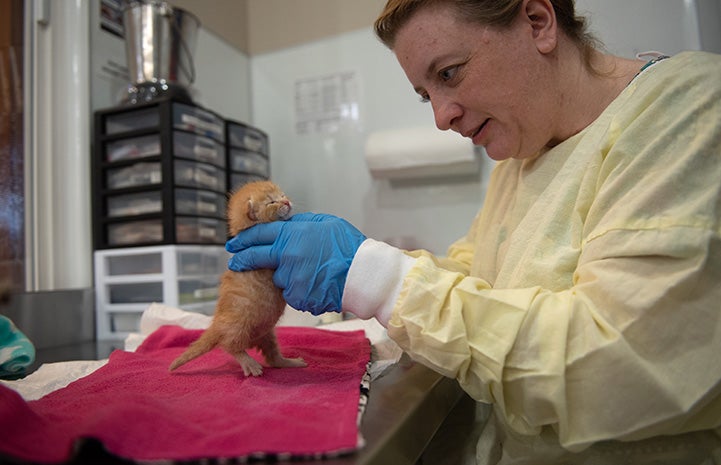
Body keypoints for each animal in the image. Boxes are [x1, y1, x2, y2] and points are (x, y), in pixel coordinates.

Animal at [169, 179, 306, 376]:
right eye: (271, 202)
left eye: (282, 195)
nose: (286, 202)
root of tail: (216, 325)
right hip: (239, 324)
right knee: (230, 345)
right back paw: (249, 363)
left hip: (267, 333)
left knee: (273, 358)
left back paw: (289, 362)